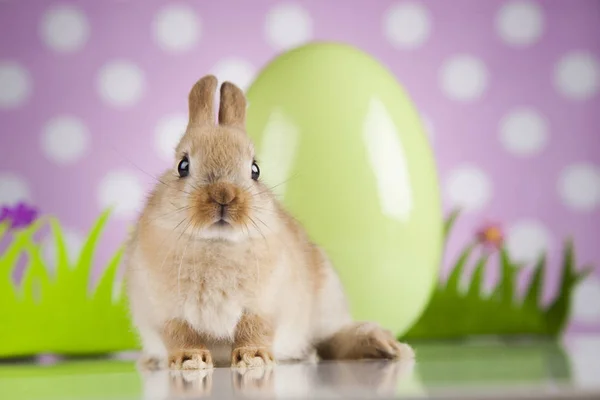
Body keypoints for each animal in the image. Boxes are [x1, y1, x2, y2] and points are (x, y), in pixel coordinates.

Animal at [124, 73, 414, 370]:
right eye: (183, 166)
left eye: (255, 170)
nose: (224, 195)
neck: (216, 243)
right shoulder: (165, 312)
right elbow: (181, 335)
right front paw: (190, 360)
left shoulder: (265, 306)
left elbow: (254, 329)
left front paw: (253, 358)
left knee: (330, 341)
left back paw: (387, 347)